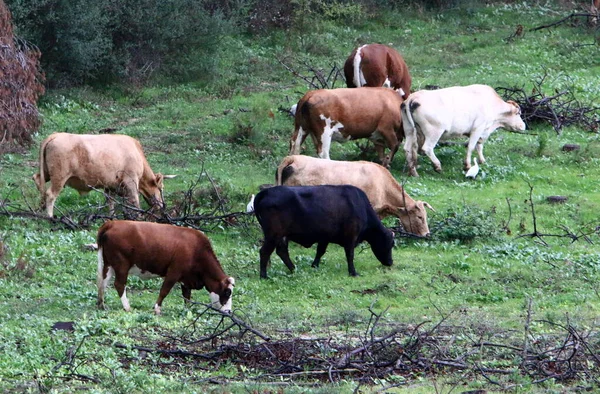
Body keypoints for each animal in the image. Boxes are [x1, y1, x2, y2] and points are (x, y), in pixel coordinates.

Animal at [32, 134, 164, 217]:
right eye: (161, 188)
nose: (162, 205)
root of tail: (56, 135)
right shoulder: (131, 180)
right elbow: (135, 200)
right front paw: (138, 216)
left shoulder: (110, 185)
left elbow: (110, 201)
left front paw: (112, 216)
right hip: (59, 176)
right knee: (50, 194)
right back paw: (50, 216)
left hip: (47, 172)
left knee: (37, 179)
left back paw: (41, 207)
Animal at [96, 220, 234, 316]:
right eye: (227, 292)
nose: (229, 312)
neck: (196, 249)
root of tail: (112, 223)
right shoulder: (174, 272)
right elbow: (164, 290)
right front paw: (157, 309)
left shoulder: (186, 278)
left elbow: (187, 295)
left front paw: (187, 310)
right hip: (122, 265)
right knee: (119, 284)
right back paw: (127, 307)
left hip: (108, 264)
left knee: (103, 282)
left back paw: (101, 305)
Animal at [252, 184, 394, 278]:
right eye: (390, 244)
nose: (390, 262)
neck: (360, 206)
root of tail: (267, 192)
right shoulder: (351, 237)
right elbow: (350, 255)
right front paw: (353, 272)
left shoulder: (325, 237)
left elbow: (320, 251)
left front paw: (314, 265)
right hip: (273, 234)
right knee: (265, 252)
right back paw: (264, 275)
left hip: (282, 235)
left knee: (282, 252)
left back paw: (294, 269)